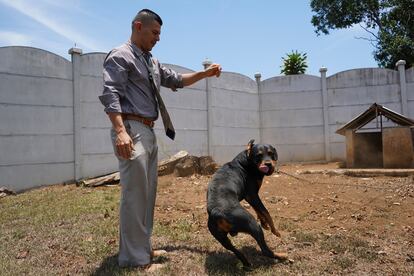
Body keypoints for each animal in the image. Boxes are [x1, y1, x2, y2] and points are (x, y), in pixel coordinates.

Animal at [206, 140, 284, 268]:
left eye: (271, 153)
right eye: (259, 155)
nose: (268, 164)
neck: (245, 163)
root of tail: (216, 212)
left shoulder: (250, 198)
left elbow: (259, 211)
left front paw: (264, 224)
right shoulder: (252, 195)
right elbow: (266, 212)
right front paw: (275, 231)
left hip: (221, 238)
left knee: (237, 252)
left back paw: (247, 264)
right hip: (252, 224)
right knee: (265, 251)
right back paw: (283, 256)